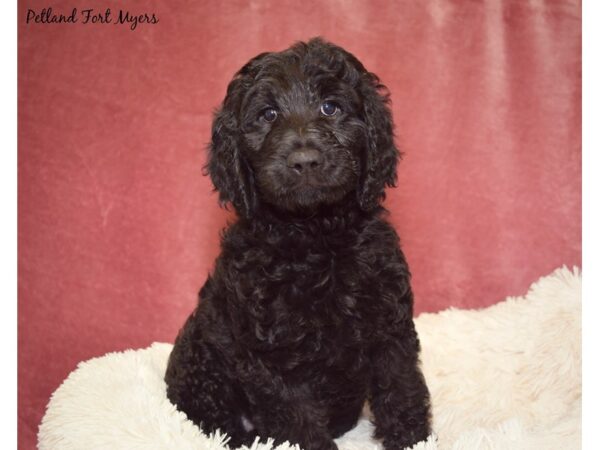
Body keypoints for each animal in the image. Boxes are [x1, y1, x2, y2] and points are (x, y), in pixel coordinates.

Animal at [165, 38, 432, 450]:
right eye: (268, 114)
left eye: (331, 107)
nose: (305, 161)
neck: (315, 236)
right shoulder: (270, 354)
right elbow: (296, 420)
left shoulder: (389, 323)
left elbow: (401, 387)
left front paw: (412, 439)